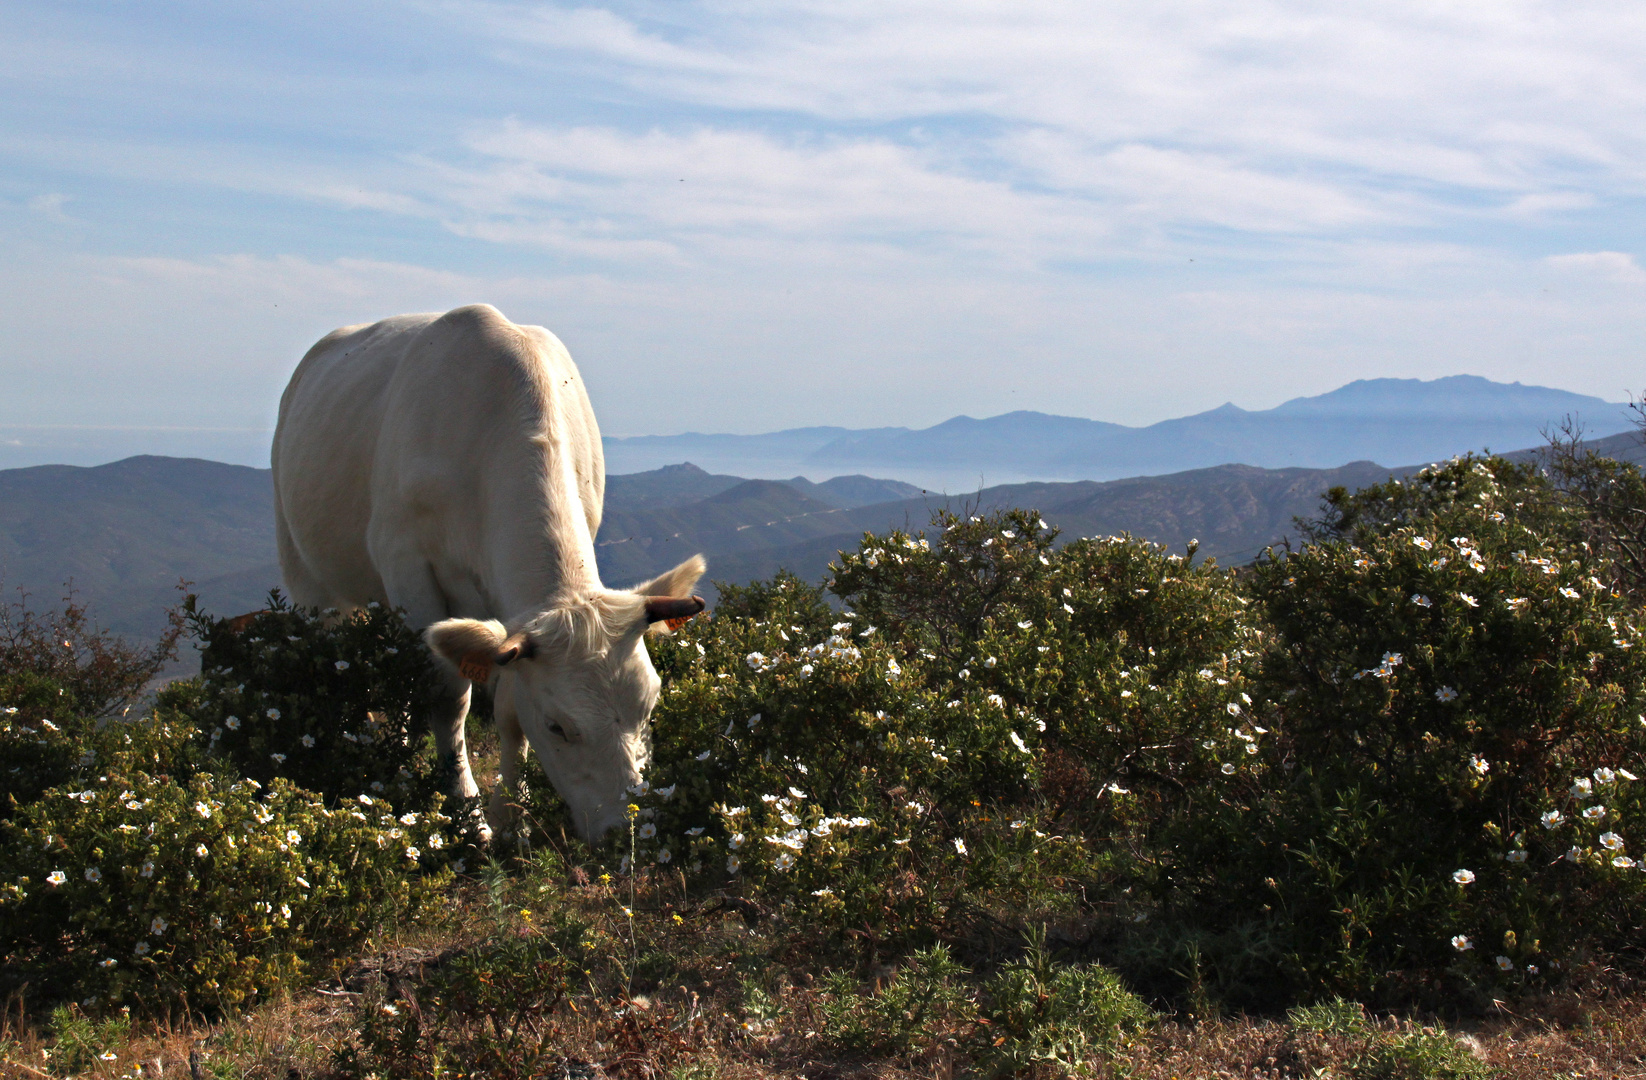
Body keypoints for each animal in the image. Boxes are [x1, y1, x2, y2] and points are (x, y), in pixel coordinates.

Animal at [271, 302, 707, 842]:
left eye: (649, 706)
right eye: (558, 726)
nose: (622, 831)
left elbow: (506, 708)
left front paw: (511, 817)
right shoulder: (407, 567)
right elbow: (447, 698)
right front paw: (468, 814)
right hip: (308, 575)